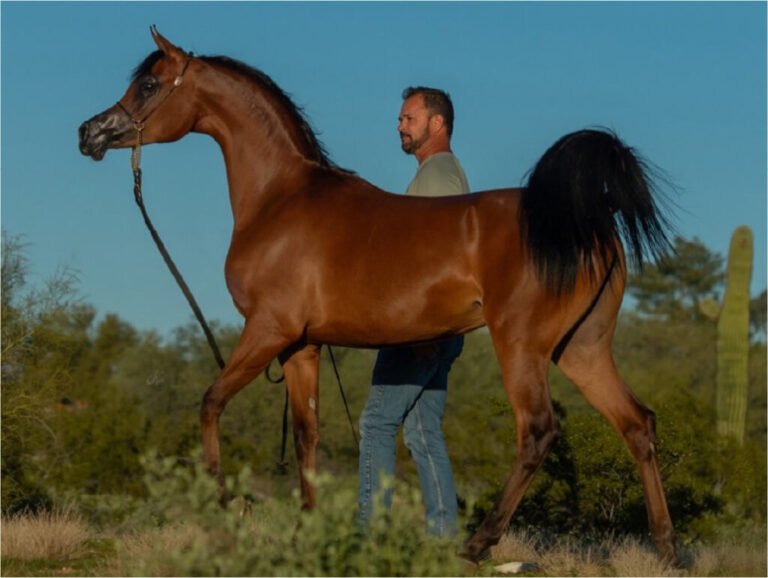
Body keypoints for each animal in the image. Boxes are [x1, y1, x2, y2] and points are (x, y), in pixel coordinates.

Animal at [79, 27, 677, 564]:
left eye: (150, 84)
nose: (90, 133)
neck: (280, 198)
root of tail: (589, 223)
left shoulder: (267, 331)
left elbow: (210, 403)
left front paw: (223, 505)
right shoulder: (301, 347)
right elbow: (307, 437)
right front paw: (306, 534)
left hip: (523, 348)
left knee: (537, 432)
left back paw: (477, 544)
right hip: (581, 349)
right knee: (637, 424)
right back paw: (666, 547)